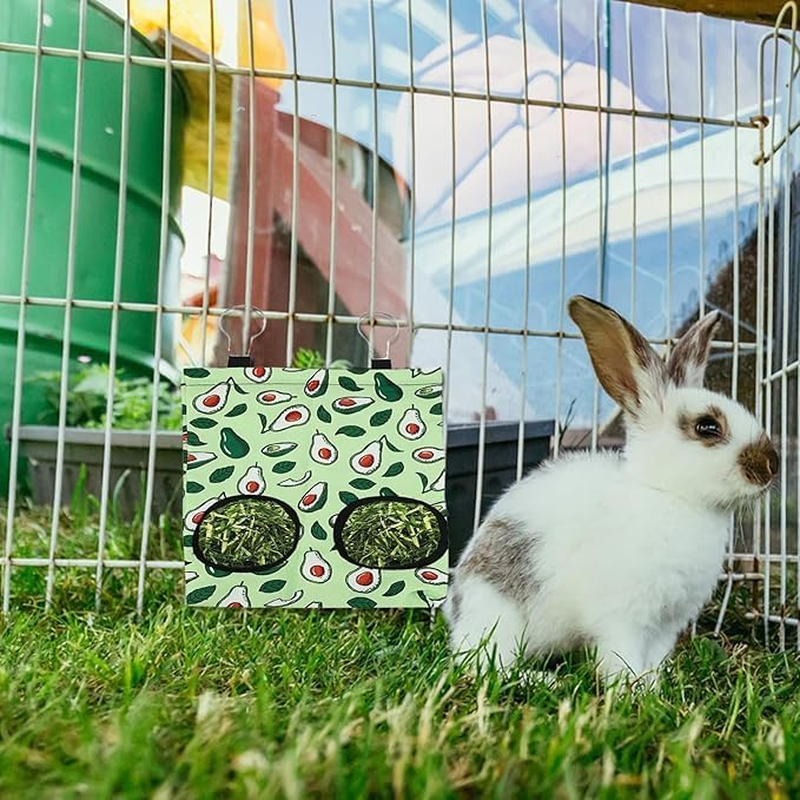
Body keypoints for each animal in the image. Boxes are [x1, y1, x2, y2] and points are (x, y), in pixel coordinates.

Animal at [444, 295, 779, 685]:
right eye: (707, 427)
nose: (771, 466)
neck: (668, 494)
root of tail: (455, 609)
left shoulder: (667, 623)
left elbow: (655, 658)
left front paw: (654, 685)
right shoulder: (624, 617)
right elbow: (622, 655)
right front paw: (630, 688)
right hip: (498, 616)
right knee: (487, 664)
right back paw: (546, 680)